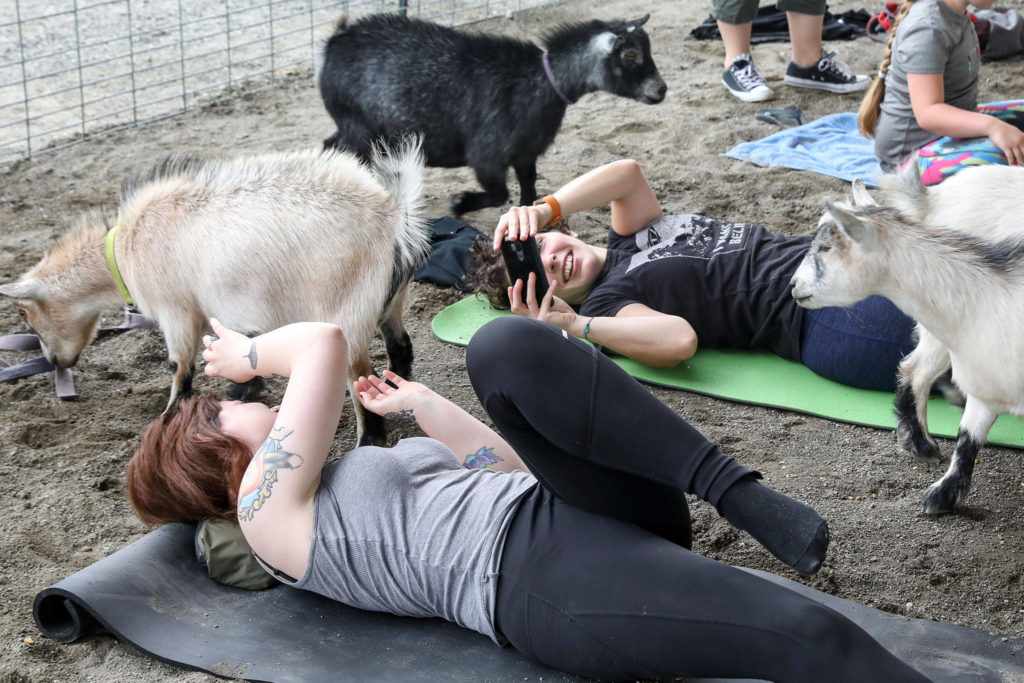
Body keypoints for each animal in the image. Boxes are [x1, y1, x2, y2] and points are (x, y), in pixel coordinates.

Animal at [0, 141, 428, 446]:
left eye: (24, 314)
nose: (54, 361)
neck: (123, 248)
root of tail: (392, 214)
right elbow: (243, 352)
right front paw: (241, 392)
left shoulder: (176, 309)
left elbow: (179, 365)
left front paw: (169, 415)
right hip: (390, 304)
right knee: (400, 347)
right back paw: (398, 391)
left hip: (346, 312)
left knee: (360, 383)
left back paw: (368, 442)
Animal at [323, 14, 667, 216]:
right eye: (630, 55)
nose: (661, 89)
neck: (539, 82)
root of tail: (333, 45)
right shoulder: (486, 154)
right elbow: (500, 193)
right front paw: (460, 204)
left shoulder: (526, 153)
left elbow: (528, 189)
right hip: (358, 125)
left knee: (333, 145)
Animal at [786, 162, 1024, 511]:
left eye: (827, 248)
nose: (793, 285)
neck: (993, 295)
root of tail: (933, 196)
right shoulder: (985, 384)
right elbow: (967, 438)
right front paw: (942, 495)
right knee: (916, 369)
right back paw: (921, 443)